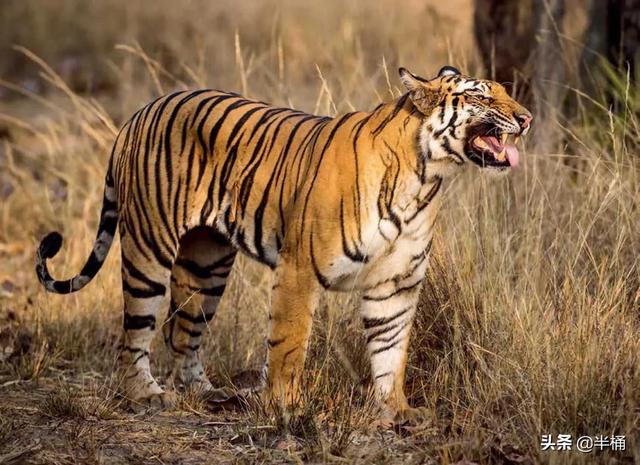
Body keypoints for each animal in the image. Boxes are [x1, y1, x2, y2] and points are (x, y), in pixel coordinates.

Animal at [37, 66, 532, 424]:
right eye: (481, 96)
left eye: (505, 92)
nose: (526, 118)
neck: (426, 176)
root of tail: (140, 111)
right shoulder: (299, 270)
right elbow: (289, 344)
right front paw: (285, 407)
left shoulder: (396, 282)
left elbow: (392, 348)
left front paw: (396, 410)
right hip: (149, 247)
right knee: (134, 334)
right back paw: (146, 396)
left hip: (206, 265)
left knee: (182, 332)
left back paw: (207, 393)